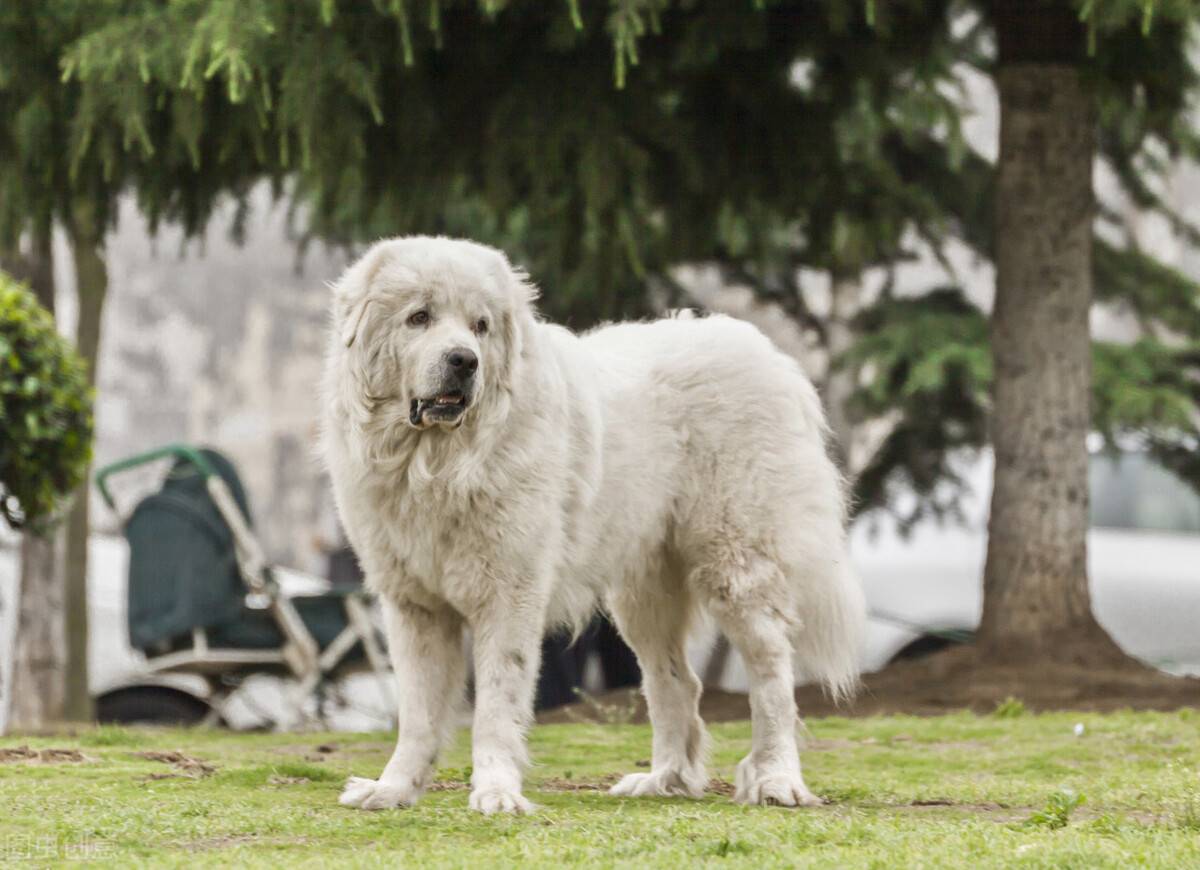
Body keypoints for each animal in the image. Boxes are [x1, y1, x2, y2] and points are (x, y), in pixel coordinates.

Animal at [319, 234, 864, 811]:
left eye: (480, 325)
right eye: (419, 317)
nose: (464, 360)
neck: (437, 464)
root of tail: (773, 358)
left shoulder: (509, 595)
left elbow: (496, 705)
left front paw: (496, 792)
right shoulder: (413, 605)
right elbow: (418, 712)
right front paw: (393, 788)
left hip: (737, 565)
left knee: (771, 672)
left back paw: (777, 778)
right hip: (643, 596)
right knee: (676, 682)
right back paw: (664, 778)